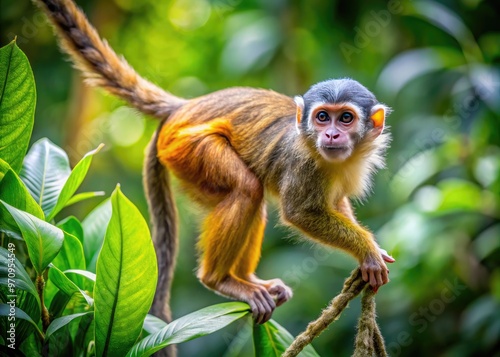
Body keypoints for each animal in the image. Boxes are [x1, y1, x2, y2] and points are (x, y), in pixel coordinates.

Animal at [33, 0, 396, 332]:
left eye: (345, 118)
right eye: (322, 117)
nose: (331, 133)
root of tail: (184, 108)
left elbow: (336, 203)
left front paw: (368, 254)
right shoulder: (303, 164)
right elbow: (299, 213)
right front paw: (367, 251)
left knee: (253, 198)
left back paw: (248, 278)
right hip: (186, 150)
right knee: (247, 189)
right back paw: (220, 280)